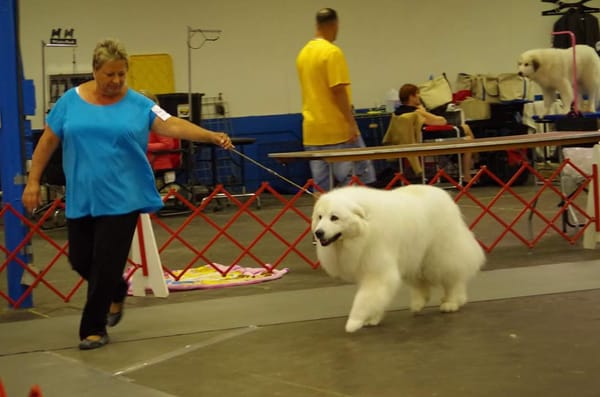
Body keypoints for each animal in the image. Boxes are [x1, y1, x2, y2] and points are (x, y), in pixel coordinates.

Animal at [312, 184, 486, 332]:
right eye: (320, 217)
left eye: (334, 217)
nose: (318, 233)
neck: (366, 229)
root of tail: (442, 193)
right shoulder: (367, 269)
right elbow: (373, 297)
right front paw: (372, 318)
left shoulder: (378, 271)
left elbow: (364, 298)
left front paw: (354, 322)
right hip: (415, 257)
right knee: (421, 283)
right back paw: (418, 304)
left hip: (441, 255)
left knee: (453, 278)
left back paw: (451, 302)